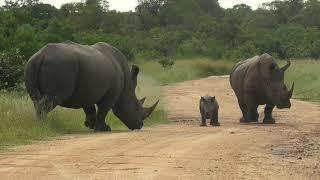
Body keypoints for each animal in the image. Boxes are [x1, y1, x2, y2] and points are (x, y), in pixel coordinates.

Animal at [25, 41, 159, 131]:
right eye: (135, 107)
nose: (140, 125)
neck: (127, 87)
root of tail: (40, 56)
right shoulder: (112, 94)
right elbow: (103, 110)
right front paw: (104, 129)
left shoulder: (87, 90)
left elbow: (89, 109)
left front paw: (89, 125)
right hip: (58, 66)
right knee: (51, 99)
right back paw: (44, 126)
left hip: (31, 64)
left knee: (35, 99)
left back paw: (39, 125)